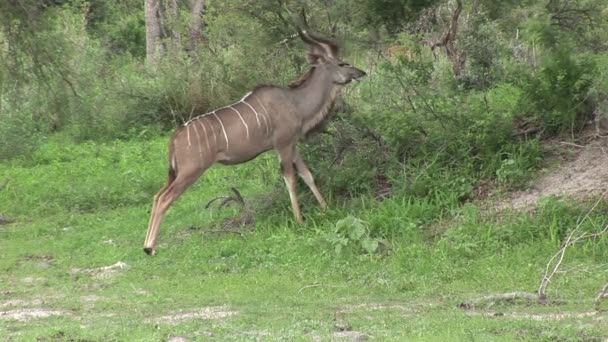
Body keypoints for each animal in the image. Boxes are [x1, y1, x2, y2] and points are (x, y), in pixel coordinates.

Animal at [144, 21, 366, 255]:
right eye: (342, 63)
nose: (362, 72)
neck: (295, 101)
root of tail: (176, 136)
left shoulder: (292, 145)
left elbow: (307, 175)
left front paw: (326, 208)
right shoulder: (283, 145)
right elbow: (290, 179)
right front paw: (300, 220)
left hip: (177, 173)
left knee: (157, 195)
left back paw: (148, 245)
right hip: (191, 171)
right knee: (164, 198)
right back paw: (150, 248)